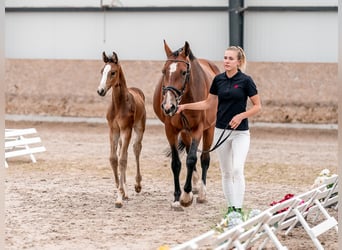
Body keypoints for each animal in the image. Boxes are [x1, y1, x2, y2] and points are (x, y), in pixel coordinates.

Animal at [96, 51, 146, 209]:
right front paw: (121, 191)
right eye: (102, 71)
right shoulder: (113, 130)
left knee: (136, 149)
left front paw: (119, 197)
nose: (100, 91)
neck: (119, 105)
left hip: (139, 128)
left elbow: (123, 160)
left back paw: (137, 185)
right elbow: (114, 159)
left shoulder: (126, 130)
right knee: (122, 152)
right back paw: (126, 191)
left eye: (113, 72)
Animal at [152, 40, 219, 209]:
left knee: (204, 158)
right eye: (163, 71)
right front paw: (177, 198)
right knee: (189, 150)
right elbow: (176, 163)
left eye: (183, 72)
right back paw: (195, 185)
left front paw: (186, 195)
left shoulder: (198, 129)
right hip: (185, 131)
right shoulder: (171, 130)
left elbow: (192, 159)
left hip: (209, 129)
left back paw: (201, 192)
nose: (168, 106)